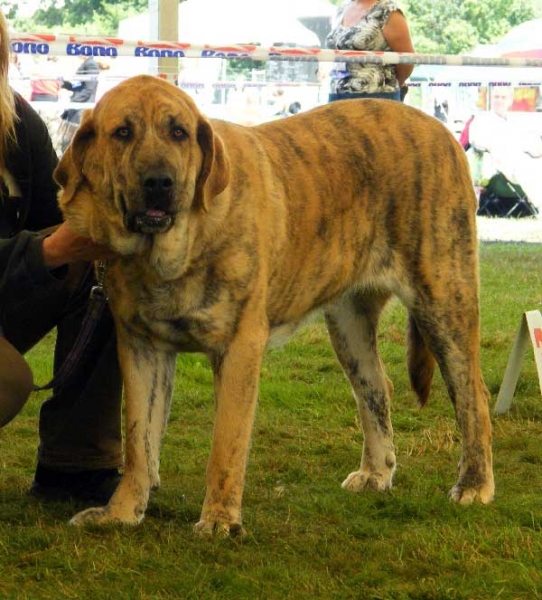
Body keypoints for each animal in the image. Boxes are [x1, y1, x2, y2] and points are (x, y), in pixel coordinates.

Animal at [56, 74, 498, 536]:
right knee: (376, 388)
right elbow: (138, 444)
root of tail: (439, 130)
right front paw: (121, 513)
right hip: (349, 325)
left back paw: (474, 484)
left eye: (178, 132)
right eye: (122, 133)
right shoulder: (142, 348)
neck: (173, 252)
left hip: (444, 301)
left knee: (472, 394)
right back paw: (376, 473)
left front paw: (219, 520)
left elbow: (226, 445)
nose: (159, 181)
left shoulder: (239, 348)